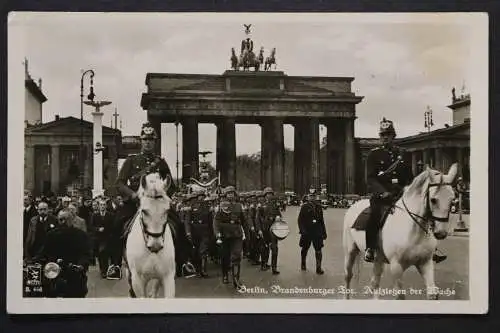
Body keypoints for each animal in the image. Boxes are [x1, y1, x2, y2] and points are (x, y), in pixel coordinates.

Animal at [344, 163, 458, 298]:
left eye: (452, 199)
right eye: (433, 200)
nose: (441, 233)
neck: (414, 231)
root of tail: (356, 203)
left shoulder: (425, 263)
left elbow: (432, 293)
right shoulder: (396, 267)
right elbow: (400, 295)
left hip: (378, 259)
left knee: (374, 283)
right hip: (350, 251)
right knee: (348, 275)